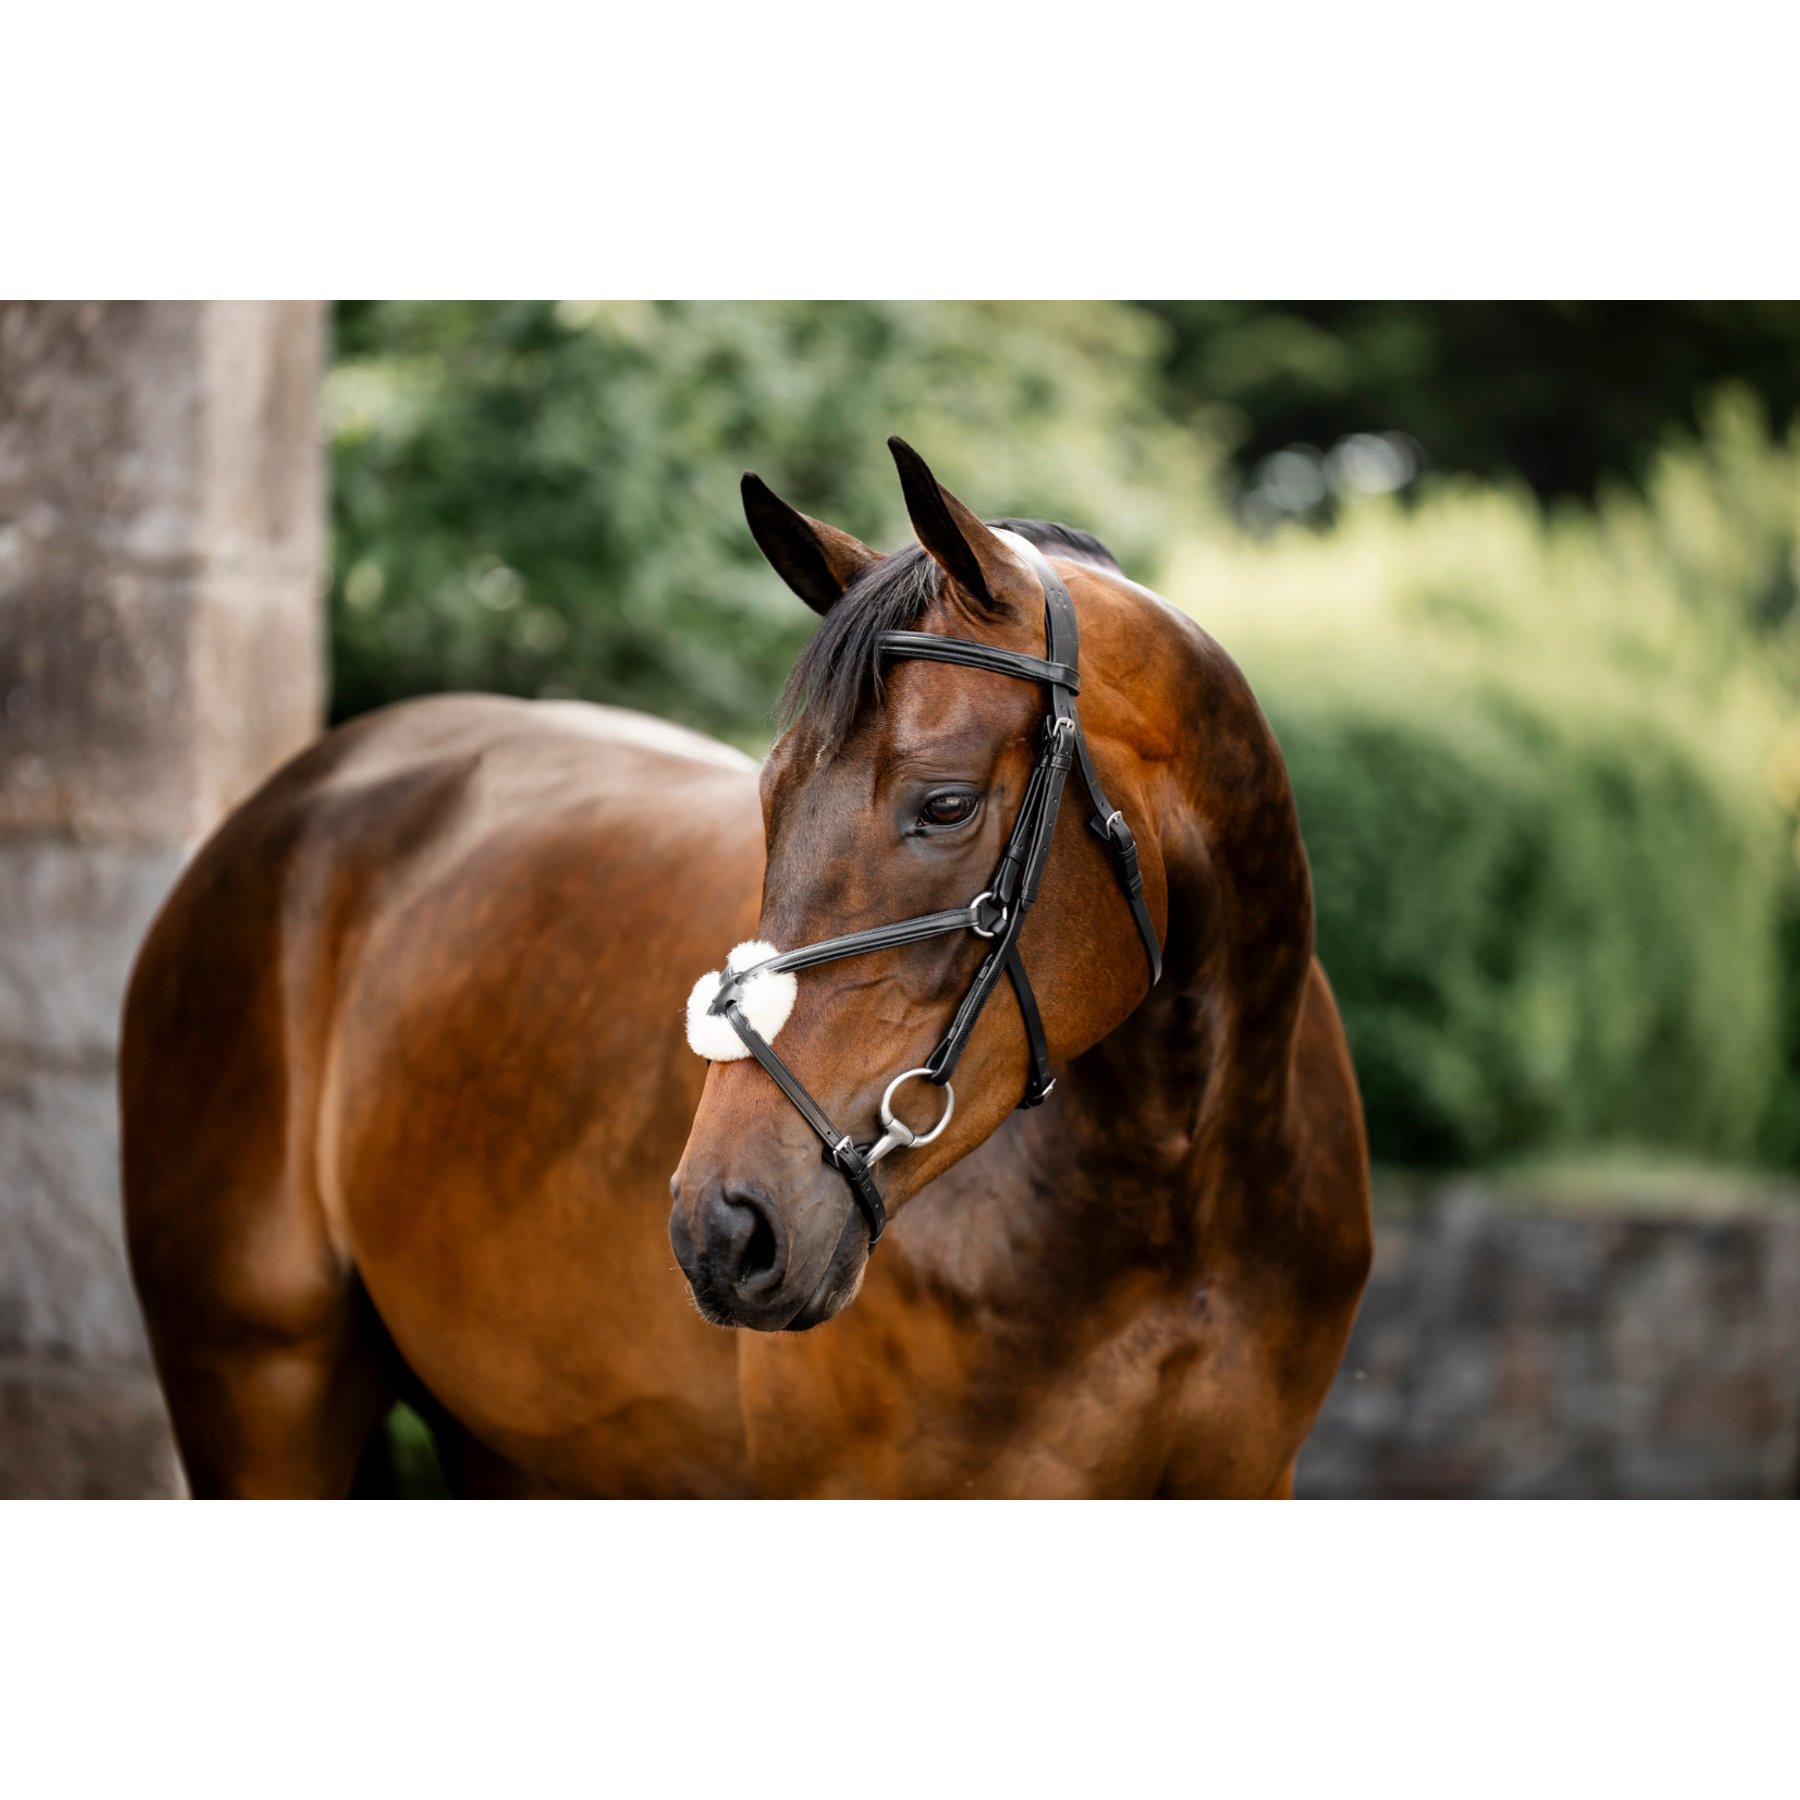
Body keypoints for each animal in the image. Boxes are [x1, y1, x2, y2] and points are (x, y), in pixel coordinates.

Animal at [120, 437, 1371, 1498]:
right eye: (769, 799)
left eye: (945, 805)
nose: (723, 1228)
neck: (1173, 1196)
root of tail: (289, 803)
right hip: (259, 1395)